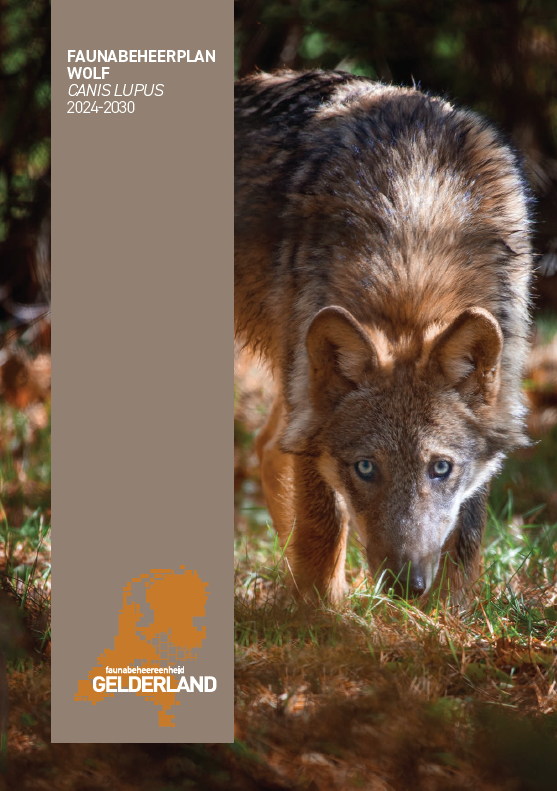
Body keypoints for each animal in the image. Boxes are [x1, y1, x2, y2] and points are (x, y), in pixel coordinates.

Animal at [235, 70, 532, 605]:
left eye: (441, 469)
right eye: (366, 468)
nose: (406, 586)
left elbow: (468, 534)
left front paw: (449, 614)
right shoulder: (310, 408)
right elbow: (324, 524)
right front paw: (324, 613)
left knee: (268, 448)